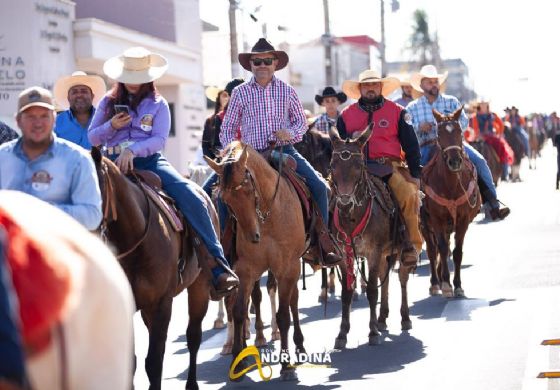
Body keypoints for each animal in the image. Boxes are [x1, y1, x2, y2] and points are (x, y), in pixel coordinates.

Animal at [206, 141, 306, 380]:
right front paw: (238, 360)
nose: (253, 236)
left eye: (249, 190)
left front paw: (286, 365)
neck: (268, 218)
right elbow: (239, 310)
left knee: (293, 302)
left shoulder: (286, 268)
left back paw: (299, 347)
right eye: (225, 200)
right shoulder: (245, 270)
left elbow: (283, 314)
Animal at [328, 125, 412, 348]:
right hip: (385, 253)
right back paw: (382, 318)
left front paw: (372, 332)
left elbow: (372, 291)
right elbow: (346, 293)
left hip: (400, 249)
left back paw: (404, 317)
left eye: (358, 165)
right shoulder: (345, 256)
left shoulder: (373, 253)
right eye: (333, 165)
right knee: (386, 277)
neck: (352, 217)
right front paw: (342, 334)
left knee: (402, 277)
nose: (345, 200)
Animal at [420, 109, 482, 298]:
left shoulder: (463, 220)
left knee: (446, 248)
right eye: (439, 135)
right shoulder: (437, 220)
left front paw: (458, 286)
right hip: (424, 224)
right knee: (433, 250)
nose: (455, 161)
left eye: (460, 132)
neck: (450, 186)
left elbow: (457, 252)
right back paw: (435, 283)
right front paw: (447, 285)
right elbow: (439, 248)